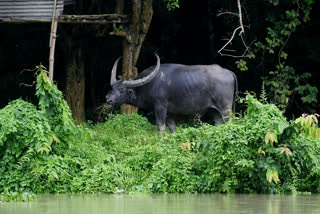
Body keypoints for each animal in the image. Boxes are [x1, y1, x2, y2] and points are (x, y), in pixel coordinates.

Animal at [105, 54, 238, 133]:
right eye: (113, 87)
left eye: (121, 90)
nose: (108, 99)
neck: (150, 85)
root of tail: (229, 72)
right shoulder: (170, 113)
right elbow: (172, 128)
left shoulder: (160, 107)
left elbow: (160, 127)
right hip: (215, 111)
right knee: (218, 123)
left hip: (225, 109)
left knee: (229, 122)